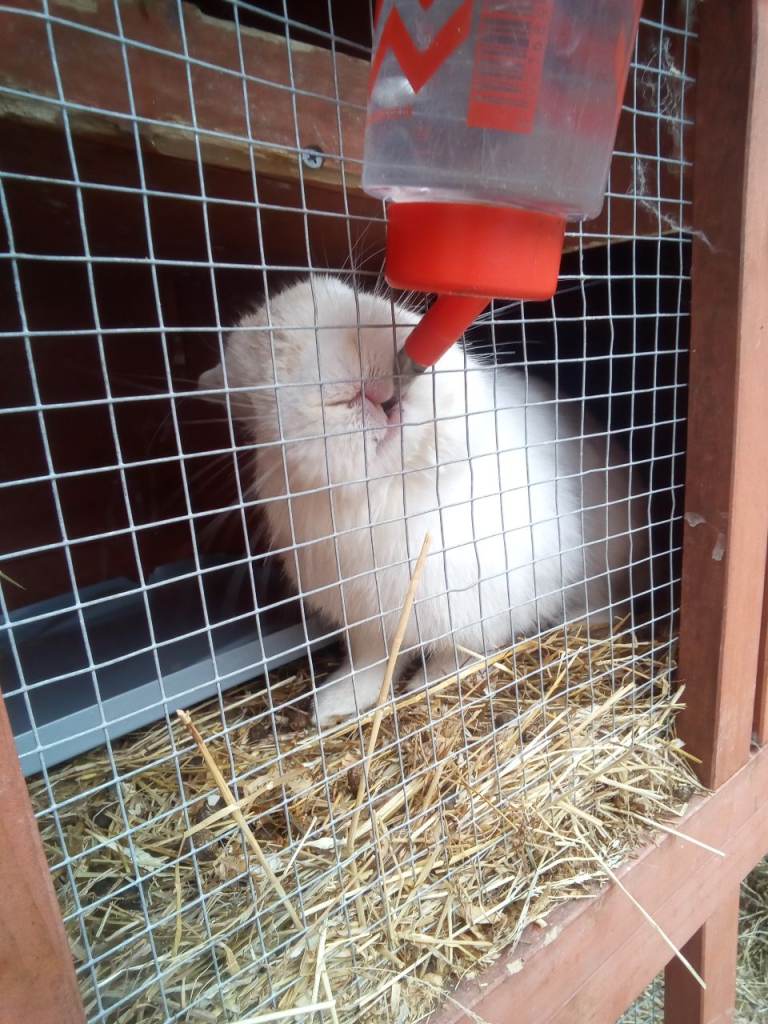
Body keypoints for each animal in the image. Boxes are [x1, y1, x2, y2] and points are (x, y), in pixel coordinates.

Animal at [198, 275, 648, 727]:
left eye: (355, 296)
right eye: (252, 398)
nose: (355, 389)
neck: (394, 489)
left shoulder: (478, 611)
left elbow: (458, 653)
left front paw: (425, 684)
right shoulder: (372, 621)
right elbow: (372, 664)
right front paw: (331, 706)